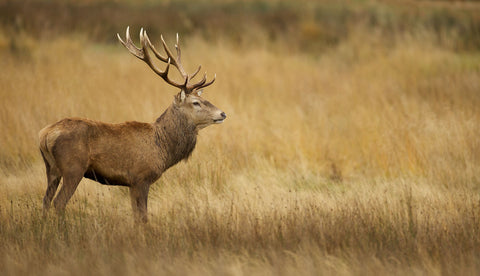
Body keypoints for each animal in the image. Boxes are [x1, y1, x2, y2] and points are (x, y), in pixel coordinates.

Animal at [38, 27, 226, 222]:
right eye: (196, 102)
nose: (222, 113)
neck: (163, 149)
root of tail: (45, 135)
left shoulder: (131, 183)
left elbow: (137, 216)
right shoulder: (140, 177)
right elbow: (142, 217)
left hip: (51, 168)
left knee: (45, 200)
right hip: (73, 167)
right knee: (59, 202)